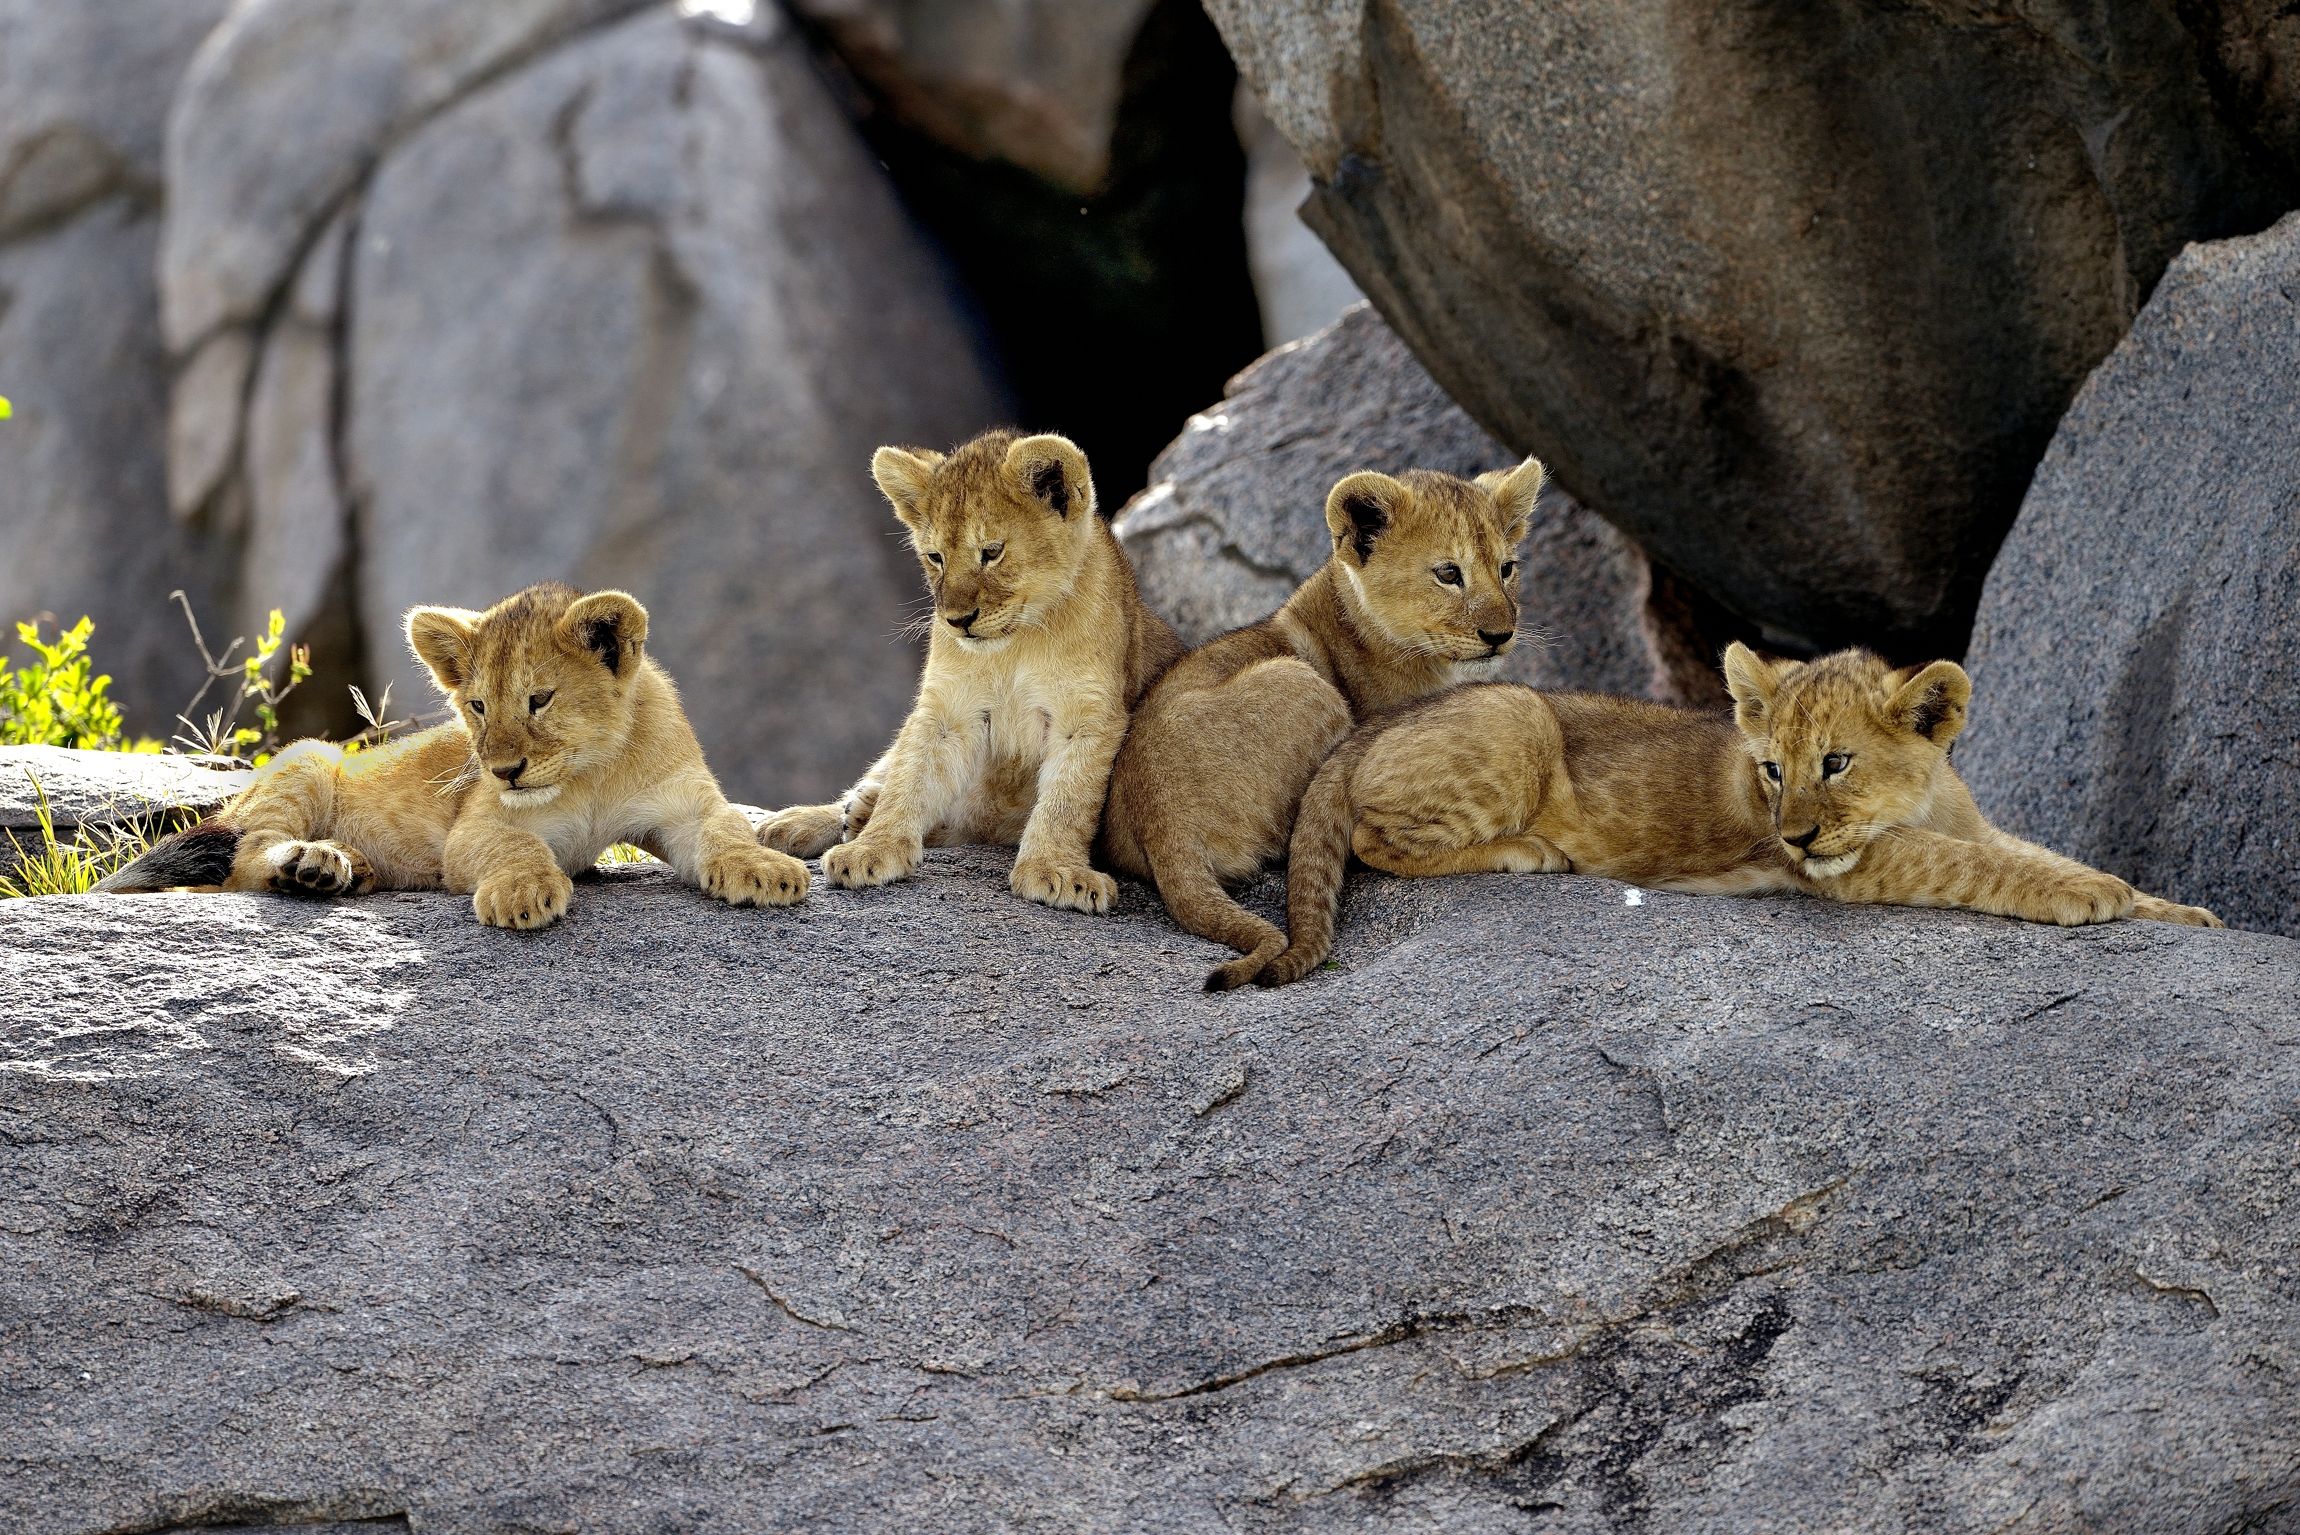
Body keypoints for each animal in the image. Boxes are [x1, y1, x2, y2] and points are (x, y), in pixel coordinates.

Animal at [98, 582, 808, 927]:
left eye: (539, 699)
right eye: (478, 707)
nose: (504, 770)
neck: (592, 774)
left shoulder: (687, 805)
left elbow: (726, 830)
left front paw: (767, 871)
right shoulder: (478, 826)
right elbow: (517, 848)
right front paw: (523, 894)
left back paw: (347, 869)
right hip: (307, 758)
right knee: (244, 860)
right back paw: (312, 863)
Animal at [756, 429, 1181, 912]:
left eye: (991, 552)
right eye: (935, 556)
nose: (957, 620)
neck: (1016, 644)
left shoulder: (1089, 716)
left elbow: (1067, 798)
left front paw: (1054, 871)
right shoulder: (946, 708)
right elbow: (910, 776)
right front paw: (873, 849)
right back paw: (807, 820)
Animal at [1234, 643, 2220, 988]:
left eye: (1835, 762)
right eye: (1772, 770)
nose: (1793, 833)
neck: (1921, 793)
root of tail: (1362, 729)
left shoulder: (1960, 823)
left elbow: (2027, 846)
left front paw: (2179, 909)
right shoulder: (1856, 868)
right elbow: (1987, 865)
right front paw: (2094, 894)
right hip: (1515, 712)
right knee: (1374, 839)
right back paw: (1529, 851)